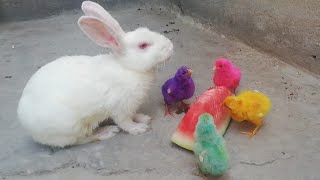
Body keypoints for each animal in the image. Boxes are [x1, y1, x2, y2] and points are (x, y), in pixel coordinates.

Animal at [16, 0, 174, 147]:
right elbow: (125, 122)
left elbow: (134, 114)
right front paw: (138, 128)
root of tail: (25, 121)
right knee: (81, 140)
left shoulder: (131, 106)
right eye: (143, 45)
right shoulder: (120, 107)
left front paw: (143, 118)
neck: (127, 67)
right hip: (72, 128)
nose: (171, 47)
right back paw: (107, 132)